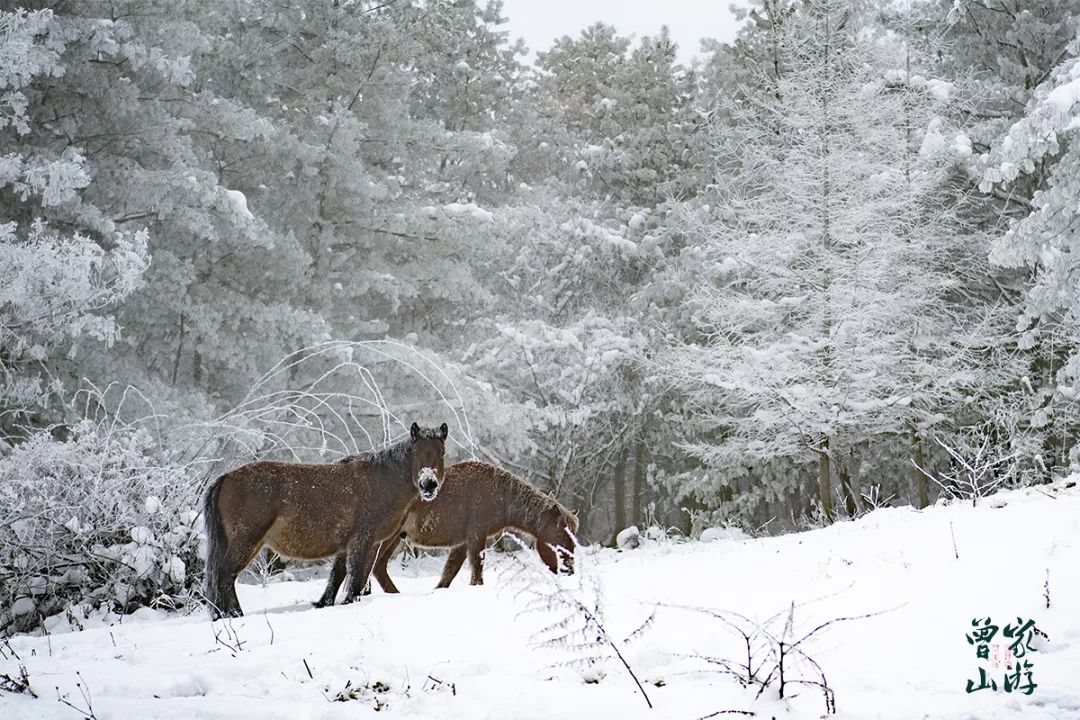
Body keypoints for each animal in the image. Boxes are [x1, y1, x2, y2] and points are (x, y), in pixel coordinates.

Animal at [203, 423, 447, 621]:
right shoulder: (362, 541)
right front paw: (349, 603)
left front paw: (323, 604)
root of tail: (224, 478)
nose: (429, 484)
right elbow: (355, 579)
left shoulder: (350, 545)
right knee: (224, 576)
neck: (382, 482)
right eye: (416, 452)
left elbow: (337, 578)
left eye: (441, 453)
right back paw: (235, 615)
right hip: (247, 540)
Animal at [369, 462, 578, 591]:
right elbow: (477, 567)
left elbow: (449, 573)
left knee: (378, 568)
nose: (569, 571)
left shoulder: (462, 543)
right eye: (561, 537)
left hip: (394, 539)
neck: (500, 494)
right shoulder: (476, 536)